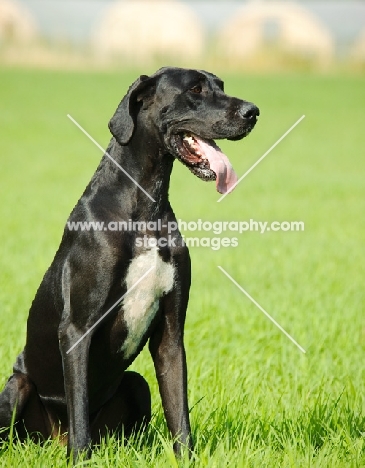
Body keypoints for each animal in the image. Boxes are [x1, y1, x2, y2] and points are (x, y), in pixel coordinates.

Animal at [0, 66, 258, 460]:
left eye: (221, 86)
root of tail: (52, 439)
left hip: (136, 385)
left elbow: (179, 412)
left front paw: (186, 459)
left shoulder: (171, 334)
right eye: (195, 89)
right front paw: (80, 461)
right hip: (17, 387)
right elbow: (79, 411)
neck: (144, 205)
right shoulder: (77, 330)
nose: (252, 112)